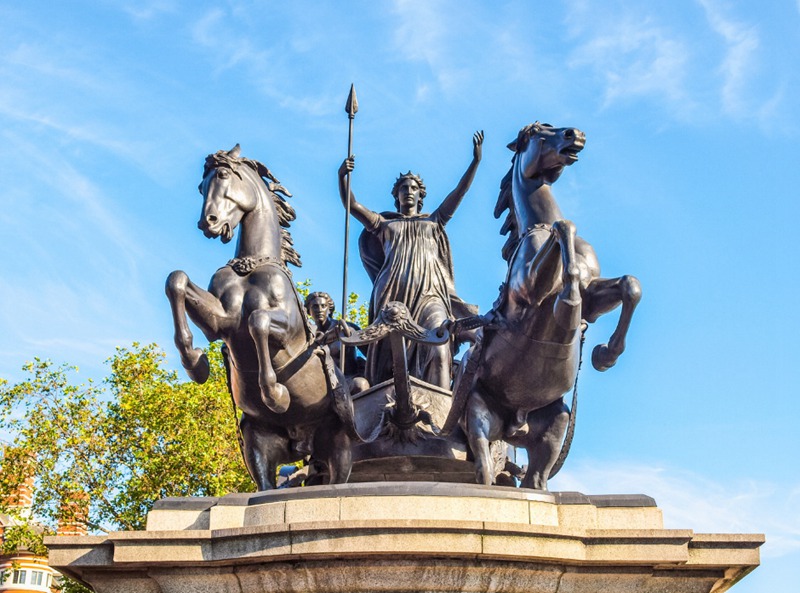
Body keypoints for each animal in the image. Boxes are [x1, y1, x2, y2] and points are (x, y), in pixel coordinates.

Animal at [166, 146, 360, 488]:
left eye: (223, 175)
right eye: (201, 187)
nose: (208, 222)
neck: (251, 265)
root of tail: (303, 444)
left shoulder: (289, 332)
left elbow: (258, 321)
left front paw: (276, 395)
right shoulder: (221, 322)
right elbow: (176, 280)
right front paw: (195, 362)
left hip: (340, 446)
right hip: (258, 444)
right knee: (265, 483)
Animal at [446, 122, 640, 488]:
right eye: (539, 132)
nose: (575, 134)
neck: (538, 225)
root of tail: (514, 425)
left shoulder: (594, 299)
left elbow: (629, 286)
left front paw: (604, 355)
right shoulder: (530, 290)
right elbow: (565, 229)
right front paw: (567, 302)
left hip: (555, 424)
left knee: (536, 480)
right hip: (477, 416)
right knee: (484, 468)